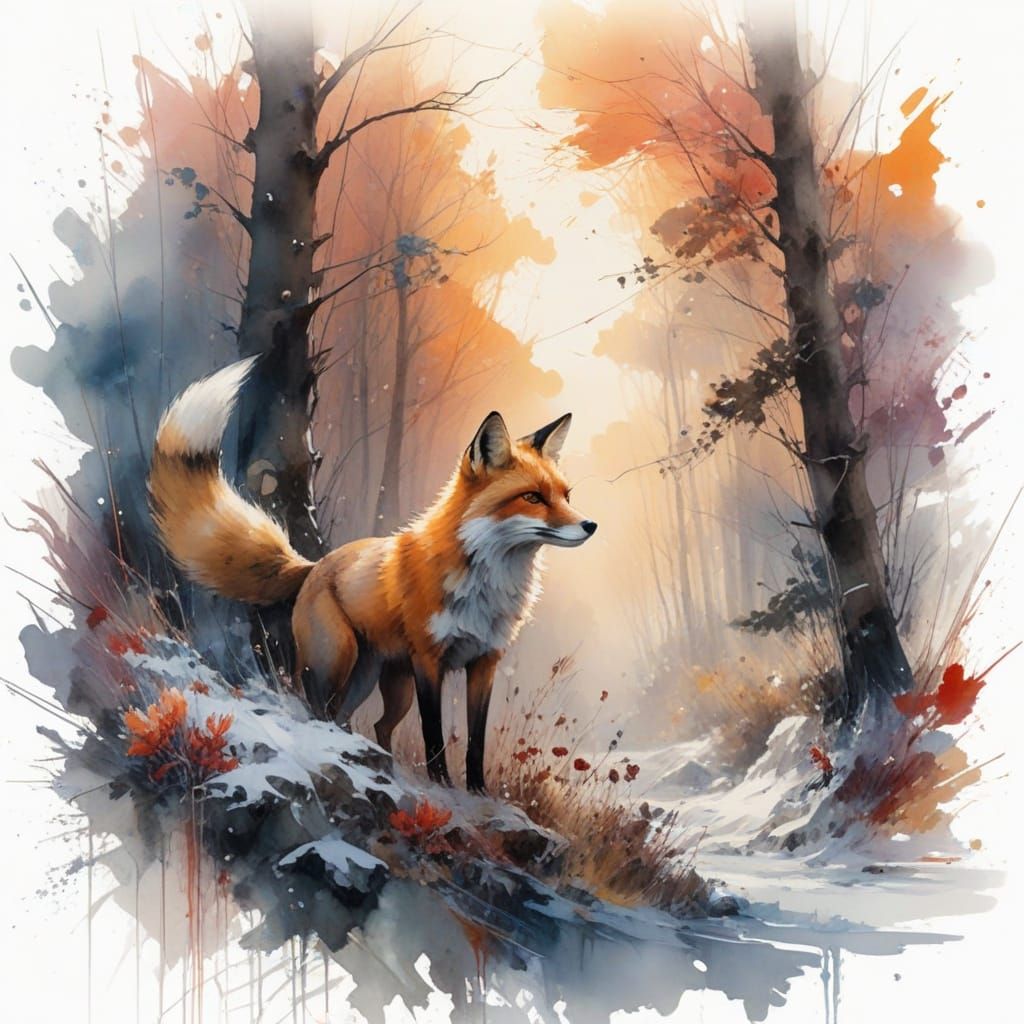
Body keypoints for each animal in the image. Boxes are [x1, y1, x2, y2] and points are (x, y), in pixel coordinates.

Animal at [148, 357, 597, 792]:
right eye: (532, 497)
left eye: (565, 496)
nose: (590, 525)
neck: (486, 587)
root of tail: (314, 564)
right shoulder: (428, 660)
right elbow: (434, 734)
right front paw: (442, 784)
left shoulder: (485, 662)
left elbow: (475, 742)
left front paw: (477, 791)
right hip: (338, 660)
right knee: (315, 705)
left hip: (379, 683)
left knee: (370, 723)